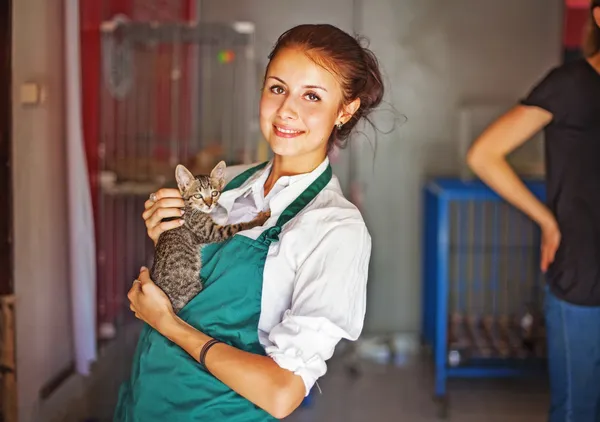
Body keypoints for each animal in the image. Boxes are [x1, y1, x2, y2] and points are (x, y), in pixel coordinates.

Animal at [151, 162, 270, 314]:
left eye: (214, 193)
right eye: (198, 195)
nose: (209, 204)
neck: (191, 208)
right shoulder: (211, 232)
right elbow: (238, 226)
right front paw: (260, 219)